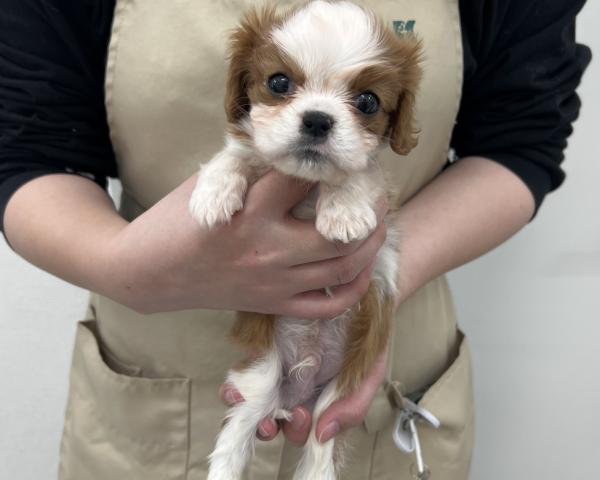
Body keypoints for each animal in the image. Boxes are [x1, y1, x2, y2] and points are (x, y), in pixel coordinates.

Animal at [189, 1, 421, 478]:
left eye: (368, 102)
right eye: (279, 83)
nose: (317, 119)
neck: (309, 186)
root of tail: (296, 394)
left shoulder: (374, 186)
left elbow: (358, 173)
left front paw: (344, 210)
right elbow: (236, 155)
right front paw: (212, 194)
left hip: (343, 389)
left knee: (320, 440)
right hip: (261, 373)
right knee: (239, 429)